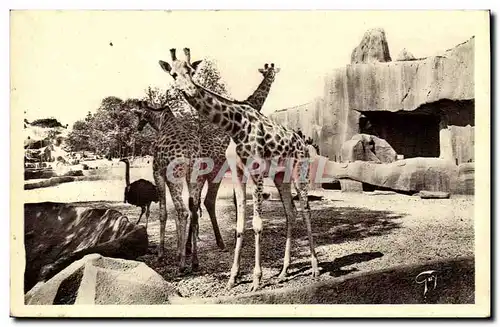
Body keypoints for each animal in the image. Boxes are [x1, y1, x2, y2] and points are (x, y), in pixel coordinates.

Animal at [156, 48, 320, 292]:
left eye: (191, 71)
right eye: (173, 74)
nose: (189, 89)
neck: (234, 125)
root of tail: (302, 142)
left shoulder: (256, 170)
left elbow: (257, 224)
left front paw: (256, 279)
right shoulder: (238, 173)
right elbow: (239, 225)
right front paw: (233, 277)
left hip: (300, 170)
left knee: (306, 209)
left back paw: (315, 268)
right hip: (280, 176)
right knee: (291, 213)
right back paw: (283, 271)